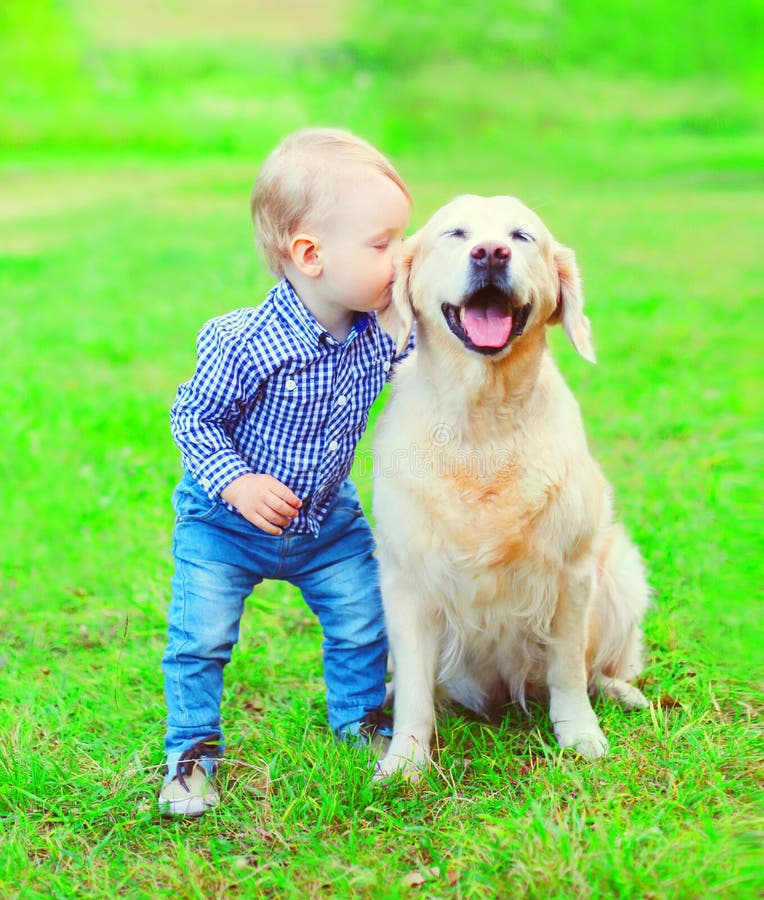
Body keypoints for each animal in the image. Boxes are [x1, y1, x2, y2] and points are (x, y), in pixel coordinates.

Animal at [374, 193, 648, 776]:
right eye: (455, 233)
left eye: (521, 237)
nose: (491, 253)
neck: (483, 419)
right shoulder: (406, 578)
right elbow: (415, 689)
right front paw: (404, 760)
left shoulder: (572, 572)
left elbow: (568, 669)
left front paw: (579, 733)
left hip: (619, 572)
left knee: (600, 666)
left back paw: (621, 691)